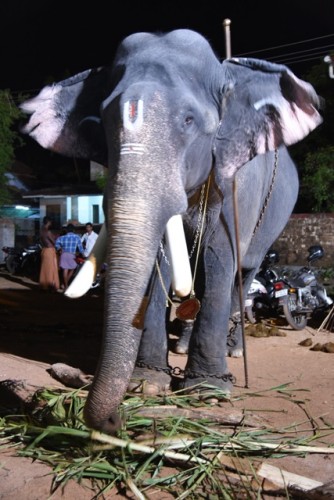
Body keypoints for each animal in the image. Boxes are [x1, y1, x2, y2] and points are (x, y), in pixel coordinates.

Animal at [19, 28, 322, 434]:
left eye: (189, 120)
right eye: (103, 120)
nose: (115, 421)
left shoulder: (235, 187)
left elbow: (219, 258)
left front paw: (208, 391)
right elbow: (159, 265)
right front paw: (147, 383)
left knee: (241, 275)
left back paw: (233, 350)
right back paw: (181, 348)